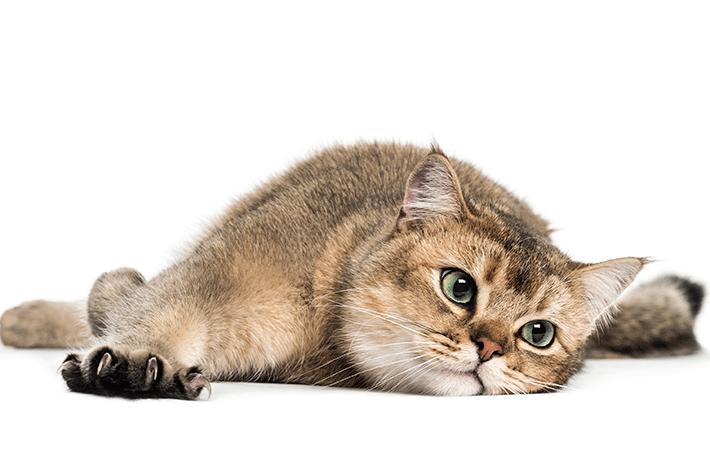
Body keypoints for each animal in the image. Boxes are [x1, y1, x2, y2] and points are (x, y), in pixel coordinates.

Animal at [0, 141, 704, 398]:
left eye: (538, 335)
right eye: (459, 287)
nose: (489, 349)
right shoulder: (225, 275)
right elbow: (142, 302)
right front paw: (129, 354)